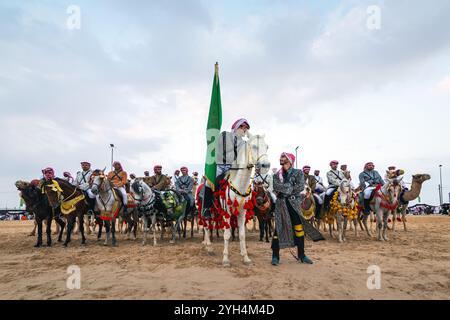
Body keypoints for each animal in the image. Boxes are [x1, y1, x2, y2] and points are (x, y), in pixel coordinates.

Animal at [204, 134, 270, 266]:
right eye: (254, 146)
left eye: (267, 146)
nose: (266, 165)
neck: (240, 184)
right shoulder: (227, 213)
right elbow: (227, 234)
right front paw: (225, 259)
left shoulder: (242, 213)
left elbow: (242, 235)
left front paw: (245, 257)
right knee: (205, 226)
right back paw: (208, 246)